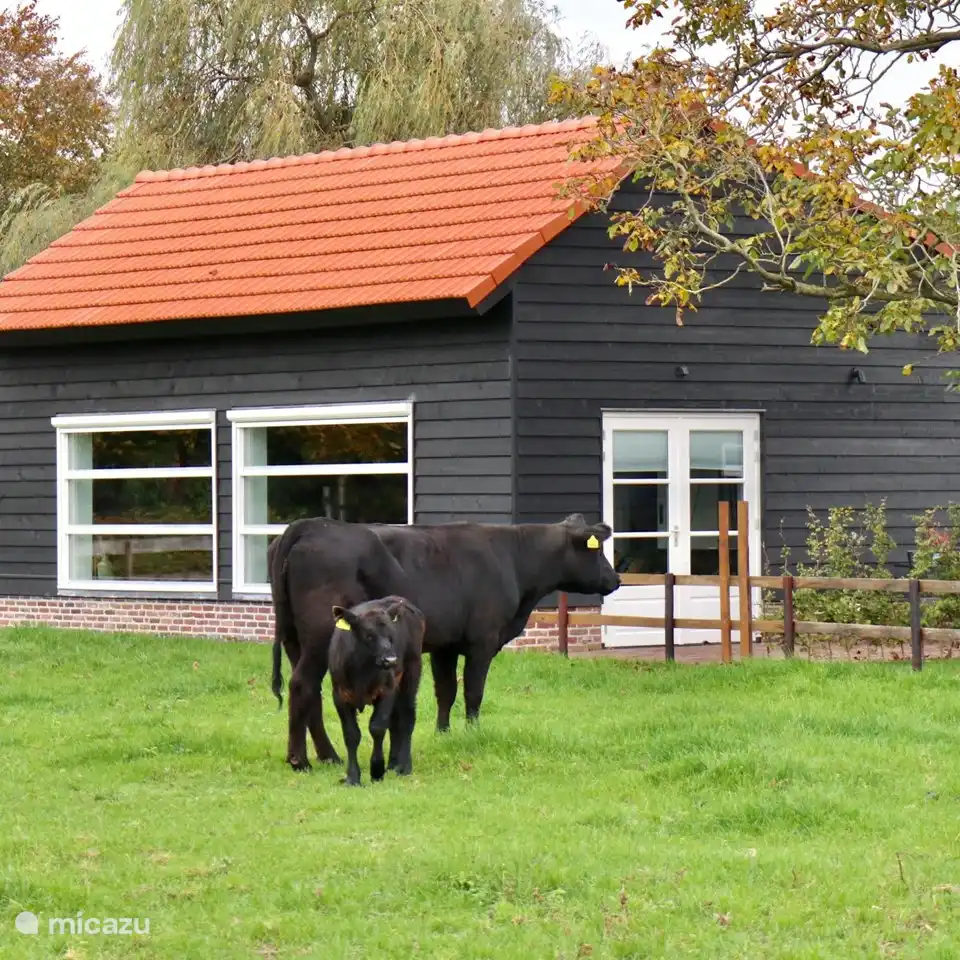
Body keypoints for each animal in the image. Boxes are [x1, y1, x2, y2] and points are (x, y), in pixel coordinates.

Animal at [328, 595, 425, 786]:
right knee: (395, 721)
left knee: (407, 717)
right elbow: (351, 734)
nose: (391, 660)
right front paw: (352, 777)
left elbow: (377, 727)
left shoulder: (387, 690)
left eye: (391, 636)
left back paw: (404, 766)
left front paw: (377, 770)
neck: (361, 672)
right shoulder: (340, 696)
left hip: (411, 673)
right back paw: (393, 764)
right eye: (369, 635)